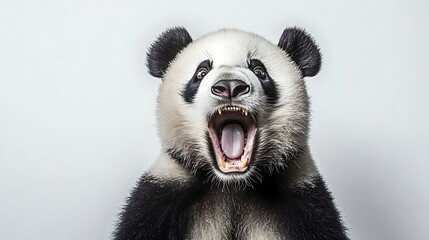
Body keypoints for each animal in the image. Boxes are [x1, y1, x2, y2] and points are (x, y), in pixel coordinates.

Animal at [113, 26, 348, 240]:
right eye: (201, 72)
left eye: (259, 71)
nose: (230, 86)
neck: (233, 185)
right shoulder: (160, 201)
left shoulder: (305, 204)